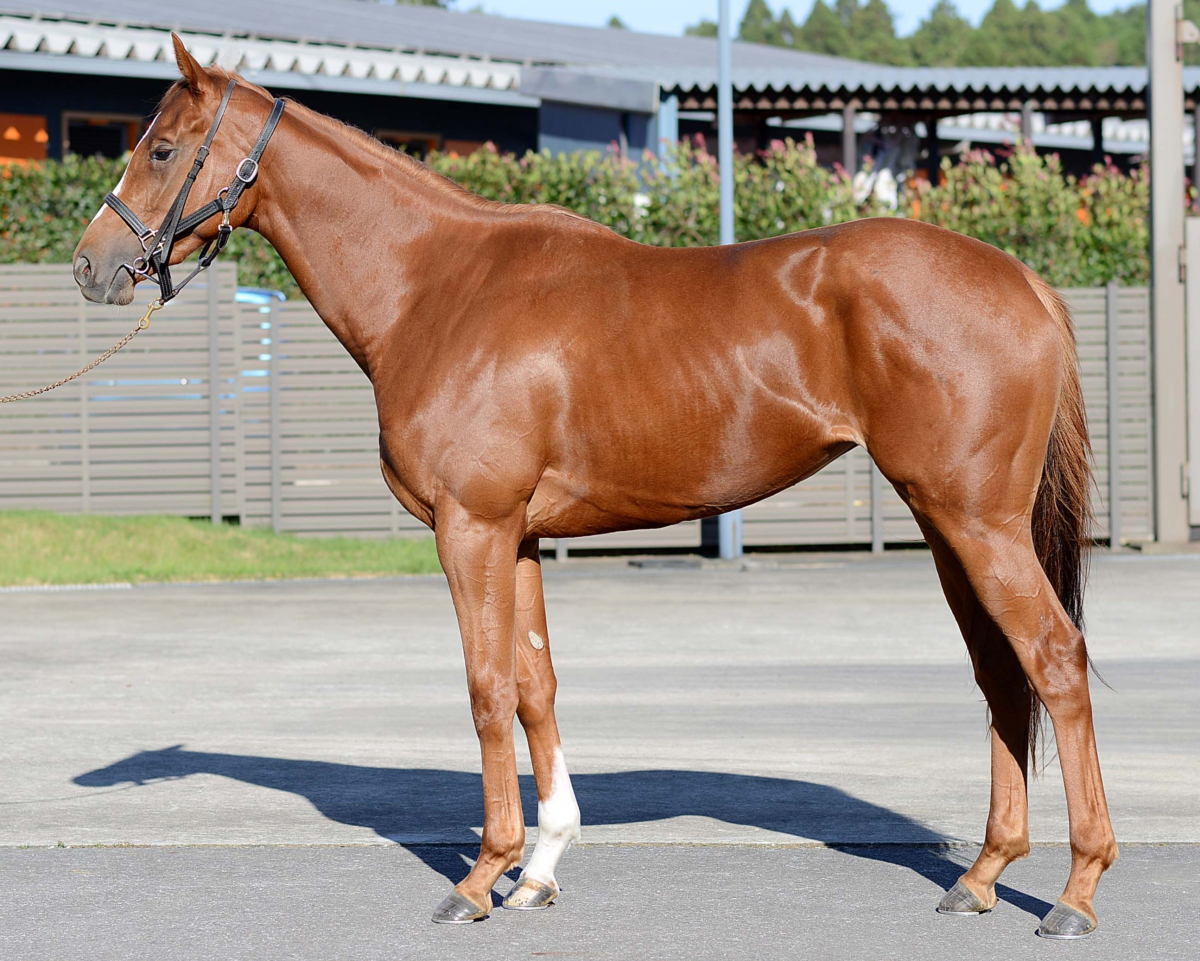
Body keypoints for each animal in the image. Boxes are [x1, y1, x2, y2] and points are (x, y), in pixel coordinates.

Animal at [71, 36, 1116, 939]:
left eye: (161, 148)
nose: (92, 266)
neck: (437, 287)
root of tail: (1024, 280)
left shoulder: (471, 527)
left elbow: (487, 686)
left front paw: (481, 877)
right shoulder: (520, 535)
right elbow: (536, 685)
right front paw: (539, 868)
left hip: (977, 524)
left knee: (1053, 660)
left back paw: (1074, 891)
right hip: (949, 526)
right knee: (1001, 673)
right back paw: (983, 874)